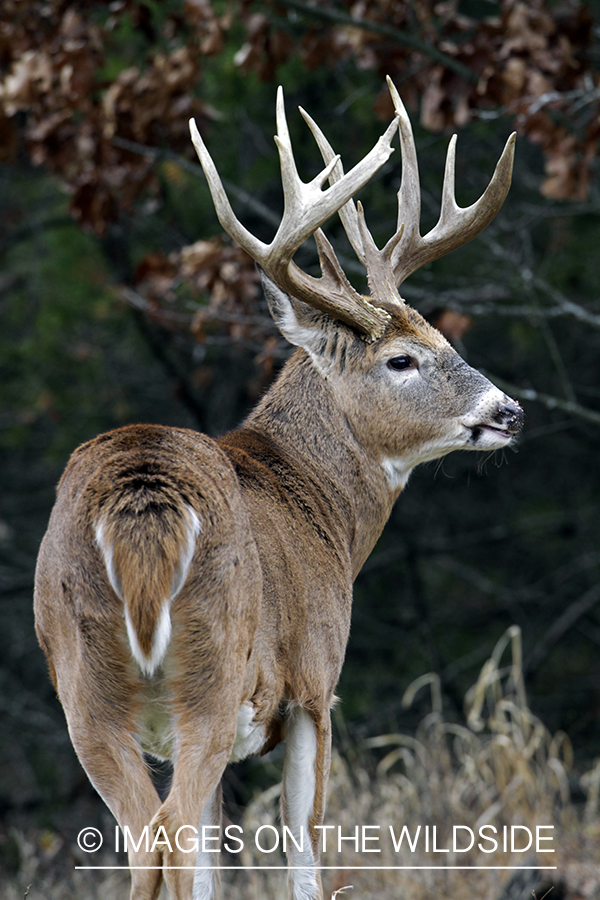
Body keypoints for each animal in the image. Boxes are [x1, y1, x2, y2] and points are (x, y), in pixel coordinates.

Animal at [34, 79, 520, 900]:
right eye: (402, 359)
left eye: (444, 338)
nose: (508, 410)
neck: (322, 506)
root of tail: (140, 502)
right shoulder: (313, 685)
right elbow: (305, 858)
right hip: (212, 668)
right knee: (165, 835)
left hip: (83, 686)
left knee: (146, 842)